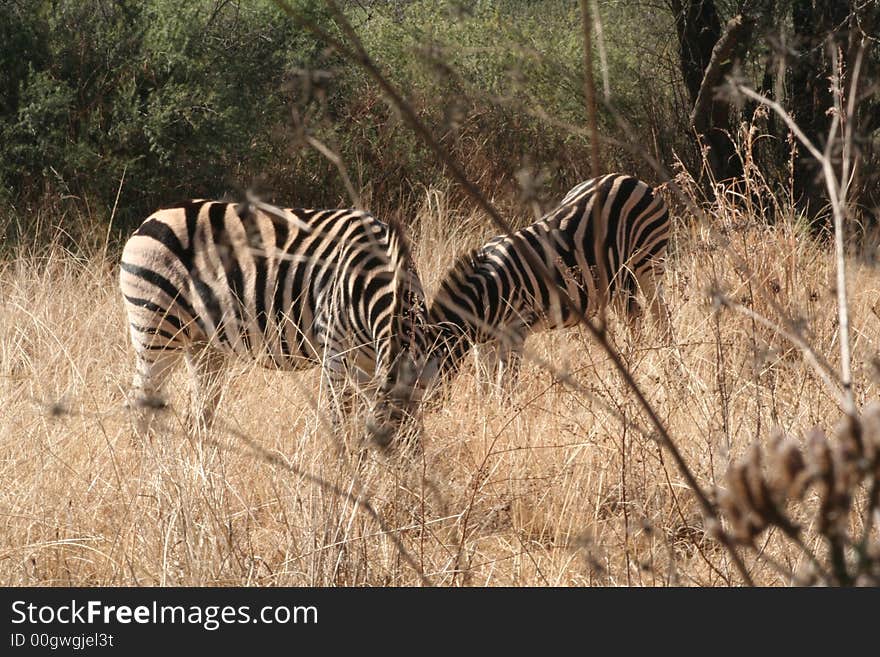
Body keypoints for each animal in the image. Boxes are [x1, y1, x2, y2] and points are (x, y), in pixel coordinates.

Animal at [119, 199, 430, 446]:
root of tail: (150, 220)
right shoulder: (336, 353)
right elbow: (342, 422)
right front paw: (346, 471)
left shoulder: (369, 362)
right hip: (156, 327)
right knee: (140, 404)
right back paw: (150, 466)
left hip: (202, 343)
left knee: (199, 412)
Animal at [424, 173, 668, 390]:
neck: (486, 295)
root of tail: (629, 177)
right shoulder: (484, 342)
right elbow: (483, 384)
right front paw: (486, 410)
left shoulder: (516, 330)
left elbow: (506, 385)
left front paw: (507, 411)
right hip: (615, 283)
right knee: (634, 320)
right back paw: (629, 363)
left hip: (648, 261)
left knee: (660, 314)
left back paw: (665, 359)